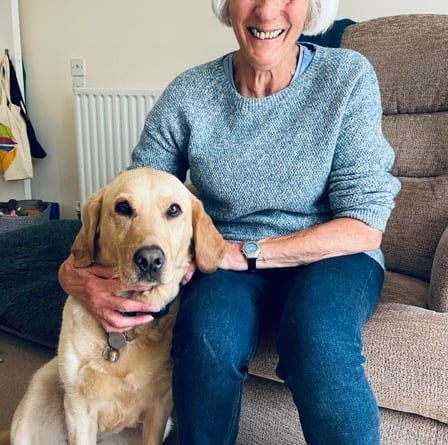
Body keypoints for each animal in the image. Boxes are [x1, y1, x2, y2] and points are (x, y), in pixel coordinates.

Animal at [2, 166, 228, 444]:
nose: (150, 259)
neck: (129, 325)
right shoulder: (78, 409)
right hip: (38, 394)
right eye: (123, 207)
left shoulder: (160, 408)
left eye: (174, 210)